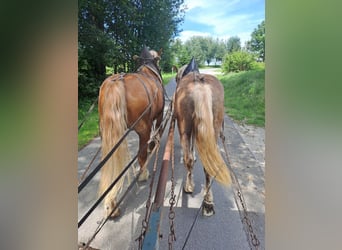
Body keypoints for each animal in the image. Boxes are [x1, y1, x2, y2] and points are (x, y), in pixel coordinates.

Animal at [97, 47, 164, 219]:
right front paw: (154, 145)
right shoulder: (159, 115)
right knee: (141, 153)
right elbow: (158, 132)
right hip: (142, 128)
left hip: (107, 133)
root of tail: (116, 82)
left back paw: (110, 203)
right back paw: (143, 173)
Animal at [174, 57, 232, 216]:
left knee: (188, 159)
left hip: (184, 129)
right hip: (213, 130)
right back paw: (208, 202)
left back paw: (189, 187)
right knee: (208, 164)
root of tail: (199, 85)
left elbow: (191, 149)